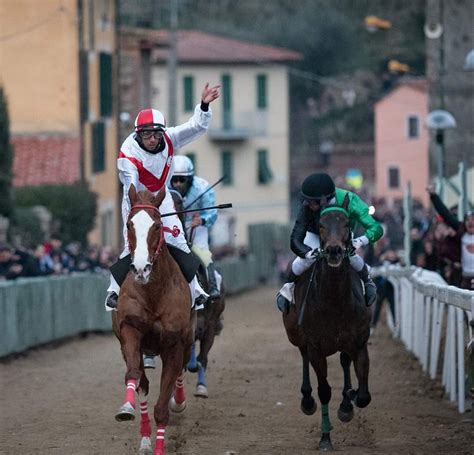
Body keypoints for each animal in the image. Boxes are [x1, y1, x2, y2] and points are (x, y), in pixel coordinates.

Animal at [113, 185, 194, 455]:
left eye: (157, 225)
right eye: (129, 224)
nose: (141, 268)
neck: (153, 293)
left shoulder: (174, 344)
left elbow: (162, 407)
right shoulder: (130, 330)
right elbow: (135, 375)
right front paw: (126, 409)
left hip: (188, 339)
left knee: (182, 369)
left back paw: (178, 401)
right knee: (143, 381)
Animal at [284, 196, 372, 452]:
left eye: (346, 223)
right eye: (321, 225)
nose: (333, 250)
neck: (334, 301)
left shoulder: (359, 343)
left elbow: (363, 396)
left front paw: (348, 401)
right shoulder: (316, 347)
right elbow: (324, 390)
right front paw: (325, 438)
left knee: (344, 361)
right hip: (296, 334)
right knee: (303, 354)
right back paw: (307, 400)